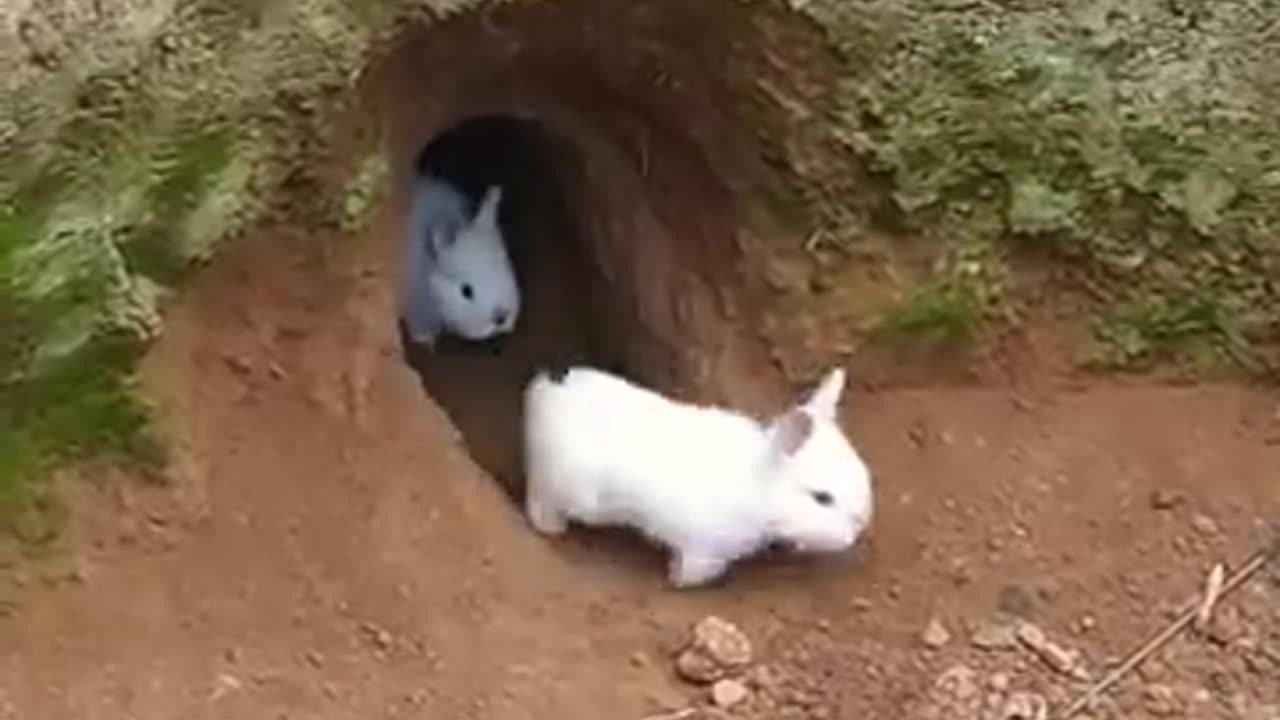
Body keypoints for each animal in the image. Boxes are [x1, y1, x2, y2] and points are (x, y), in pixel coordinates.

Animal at [519, 361, 870, 586]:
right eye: (822, 498)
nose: (859, 527)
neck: (760, 488)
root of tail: (542, 393)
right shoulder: (704, 550)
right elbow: (694, 572)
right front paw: (675, 578)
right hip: (564, 490)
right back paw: (553, 529)